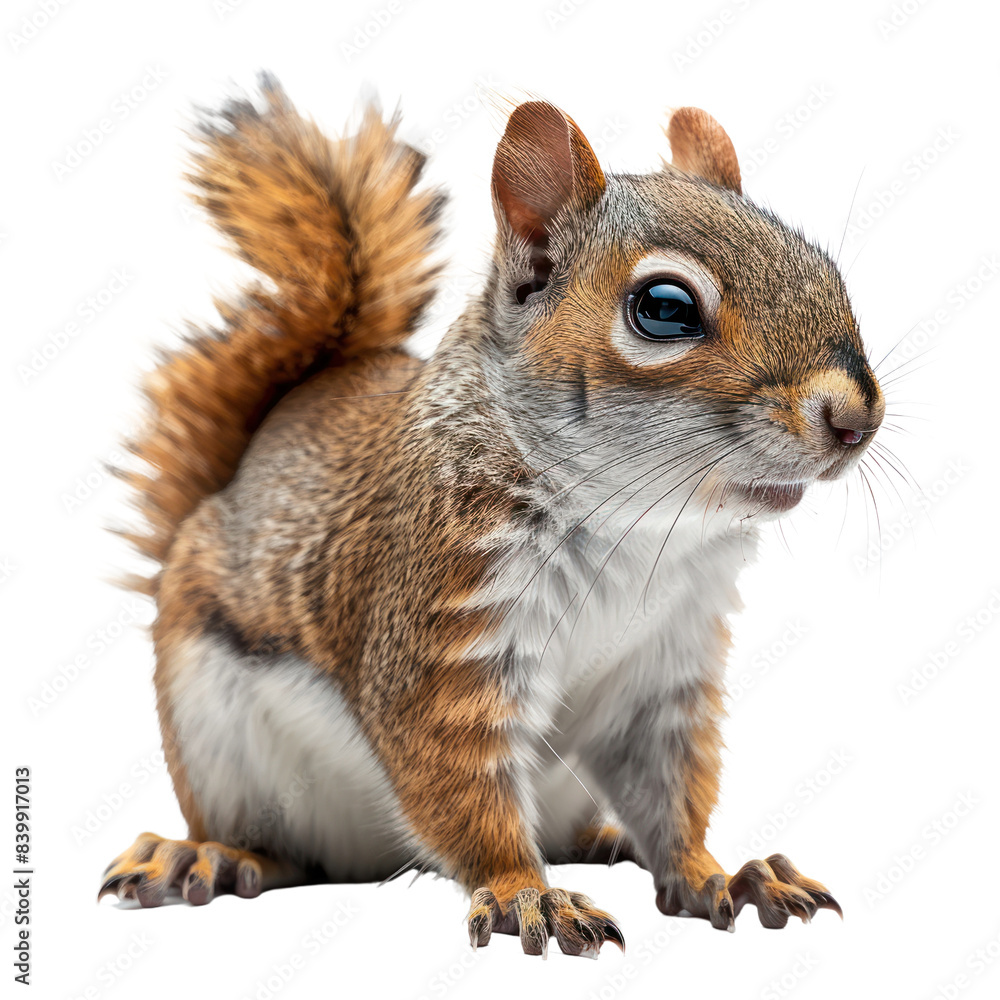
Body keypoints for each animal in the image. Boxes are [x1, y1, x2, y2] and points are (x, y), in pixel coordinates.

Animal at [99, 75, 883, 958]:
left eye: (826, 268)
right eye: (665, 307)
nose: (855, 417)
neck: (636, 526)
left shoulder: (664, 668)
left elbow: (671, 789)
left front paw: (719, 873)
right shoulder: (442, 623)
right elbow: (460, 784)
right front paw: (524, 895)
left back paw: (606, 841)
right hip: (213, 734)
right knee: (272, 845)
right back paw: (208, 854)